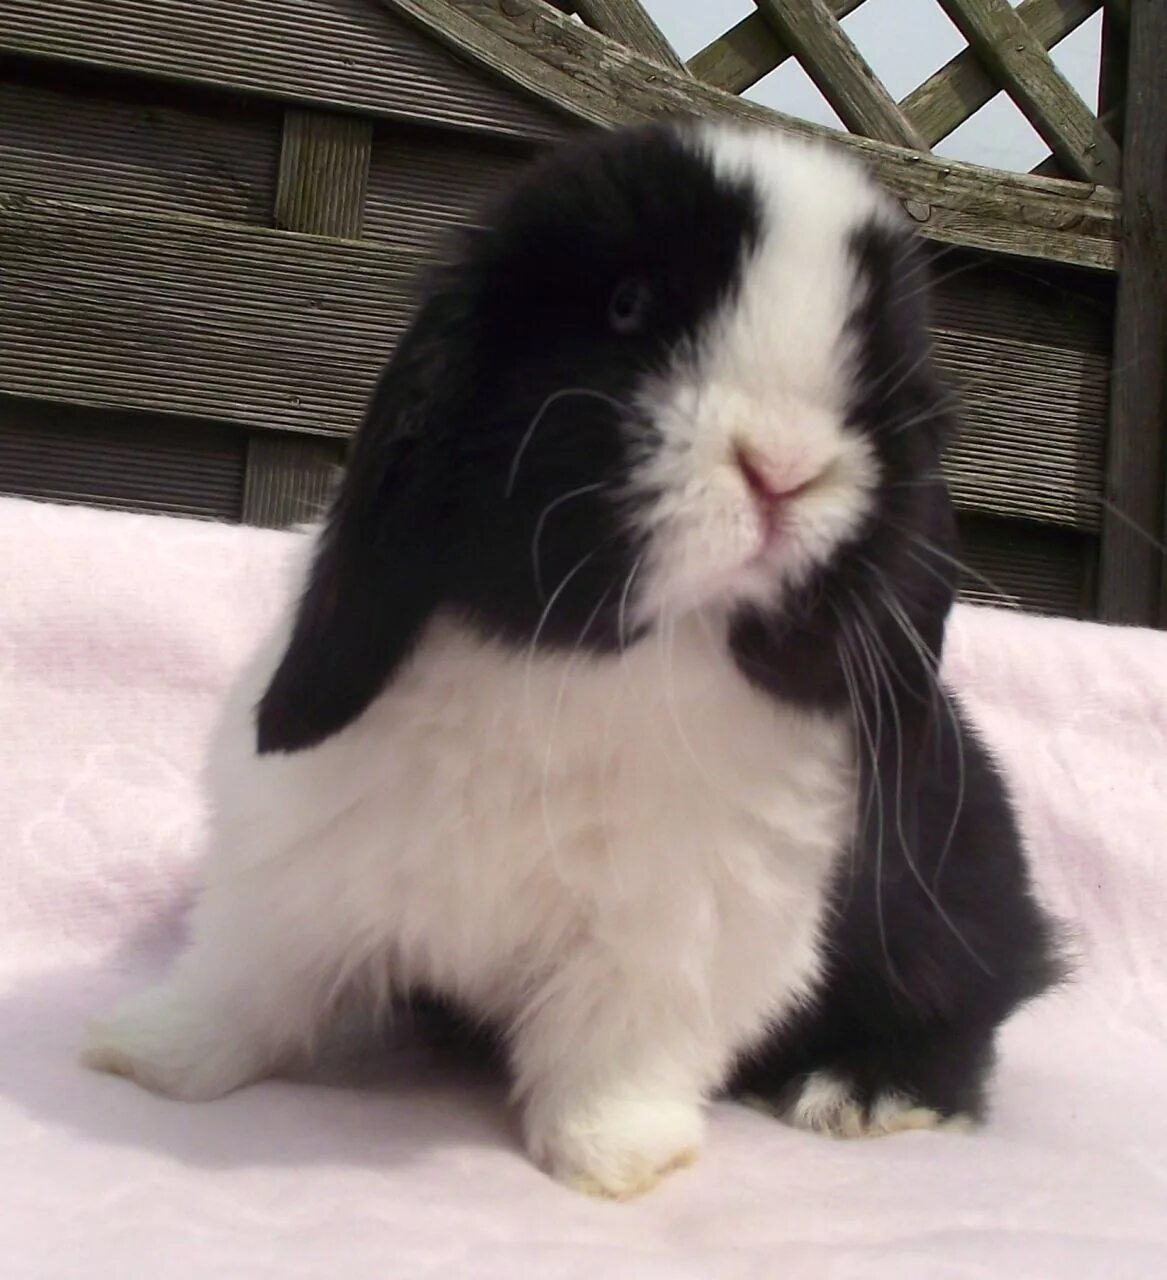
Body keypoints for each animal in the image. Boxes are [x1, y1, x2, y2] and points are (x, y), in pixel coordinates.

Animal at [81, 117, 1064, 1198]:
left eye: (878, 371)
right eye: (628, 306)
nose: (784, 468)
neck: (596, 670)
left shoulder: (681, 928)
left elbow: (617, 1043)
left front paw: (613, 1159)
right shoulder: (295, 863)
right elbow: (248, 979)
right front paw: (141, 1054)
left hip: (949, 916)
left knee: (966, 1016)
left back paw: (859, 1093)